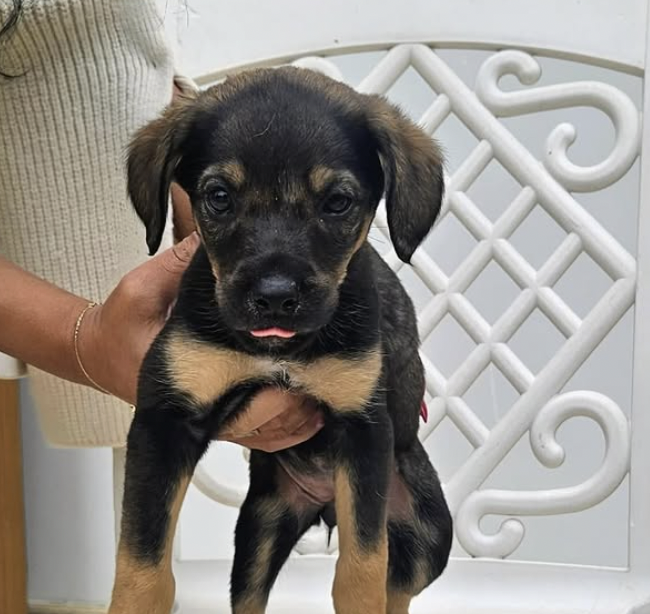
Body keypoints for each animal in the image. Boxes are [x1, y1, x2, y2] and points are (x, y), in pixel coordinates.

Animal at [108, 66, 453, 614]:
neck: (278, 351)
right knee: (250, 593)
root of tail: (322, 505)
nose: (274, 298)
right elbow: (141, 567)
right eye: (218, 196)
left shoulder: (363, 429)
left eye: (338, 203)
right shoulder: (164, 422)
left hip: (427, 532)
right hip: (259, 529)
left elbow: (362, 570)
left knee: (395, 585)